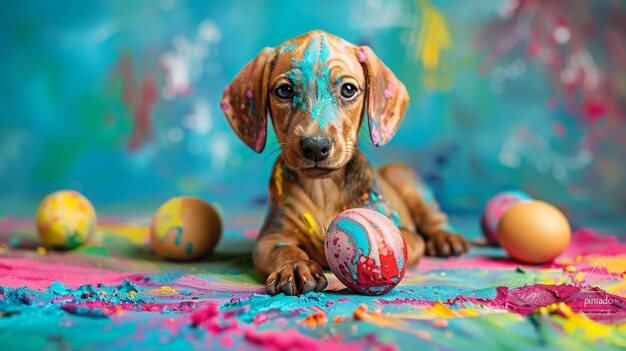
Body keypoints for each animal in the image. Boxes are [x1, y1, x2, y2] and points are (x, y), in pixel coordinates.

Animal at [221, 31, 468, 296]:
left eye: (348, 89)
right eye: (284, 91)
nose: (316, 146)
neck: (324, 188)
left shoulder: (407, 236)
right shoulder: (270, 238)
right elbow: (285, 249)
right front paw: (296, 266)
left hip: (404, 178)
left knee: (434, 217)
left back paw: (446, 238)